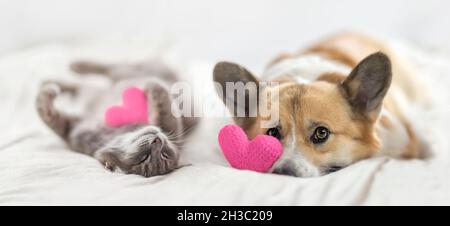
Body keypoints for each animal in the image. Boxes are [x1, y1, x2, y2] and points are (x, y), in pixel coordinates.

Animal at [35, 61, 197, 177]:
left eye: (163, 155)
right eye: (143, 158)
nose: (157, 140)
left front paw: (152, 85)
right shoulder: (71, 128)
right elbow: (47, 114)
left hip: (126, 72)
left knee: (107, 71)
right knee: (92, 79)